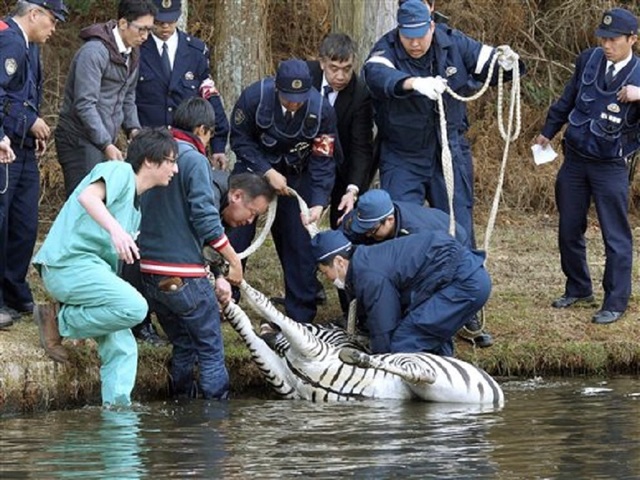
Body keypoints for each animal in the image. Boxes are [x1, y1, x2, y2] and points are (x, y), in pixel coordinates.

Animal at [224, 280, 504, 405]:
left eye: (324, 326)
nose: (265, 327)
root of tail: (496, 393)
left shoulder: (312, 347)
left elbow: (266, 305)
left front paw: (229, 274)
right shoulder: (283, 380)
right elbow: (242, 326)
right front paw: (223, 293)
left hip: (423, 366)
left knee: (424, 372)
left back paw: (358, 358)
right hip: (431, 392)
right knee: (423, 378)